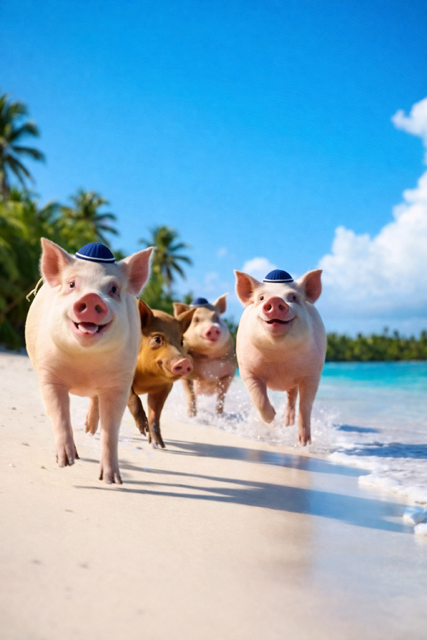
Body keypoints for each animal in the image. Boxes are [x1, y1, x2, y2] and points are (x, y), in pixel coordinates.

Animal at [25, 239, 152, 484]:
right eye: (72, 284)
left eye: (113, 289)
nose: (91, 297)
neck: (86, 364)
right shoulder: (49, 374)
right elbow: (59, 412)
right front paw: (66, 462)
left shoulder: (119, 383)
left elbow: (111, 427)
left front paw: (112, 481)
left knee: (95, 400)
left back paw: (90, 430)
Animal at [85, 300, 195, 449]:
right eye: (157, 339)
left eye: (181, 341)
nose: (184, 361)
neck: (148, 379)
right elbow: (134, 399)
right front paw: (142, 430)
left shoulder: (166, 387)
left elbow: (155, 413)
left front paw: (158, 445)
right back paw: (89, 432)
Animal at [234, 268, 326, 446]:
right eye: (261, 298)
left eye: (294, 297)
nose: (275, 300)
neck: (279, 356)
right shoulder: (247, 370)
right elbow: (259, 398)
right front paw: (272, 417)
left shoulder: (313, 374)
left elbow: (306, 405)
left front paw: (304, 443)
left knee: (292, 396)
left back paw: (288, 424)